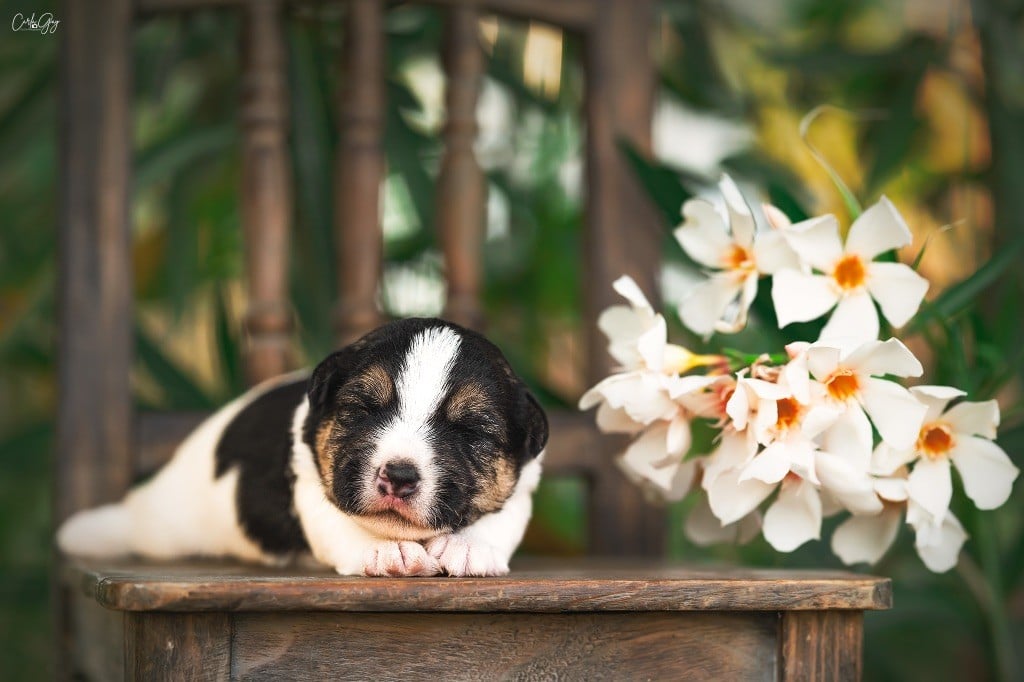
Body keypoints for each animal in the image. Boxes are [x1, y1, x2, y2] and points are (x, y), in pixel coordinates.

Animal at [57, 319, 548, 573]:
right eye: (363, 410)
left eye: (471, 433)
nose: (399, 476)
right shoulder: (307, 486)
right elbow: (341, 523)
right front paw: (383, 550)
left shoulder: (523, 491)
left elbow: (499, 521)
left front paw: (469, 547)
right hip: (164, 526)